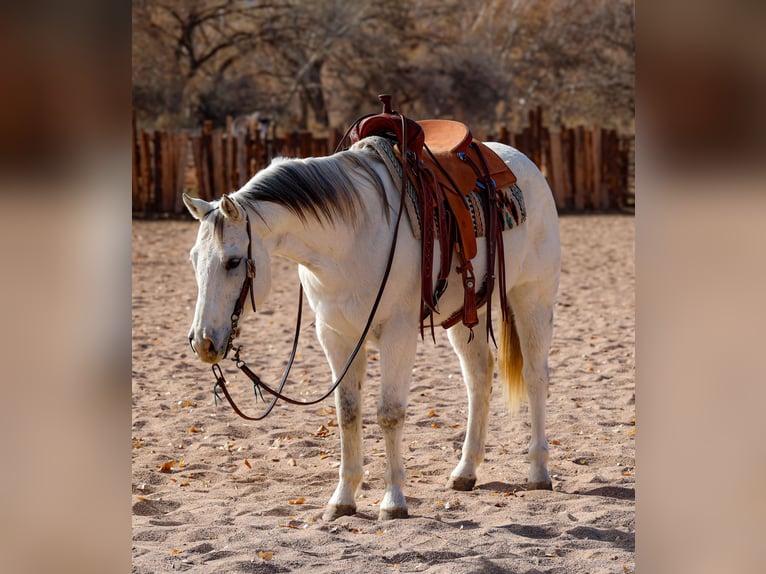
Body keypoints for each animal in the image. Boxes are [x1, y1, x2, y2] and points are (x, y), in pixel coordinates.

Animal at [183, 138, 560, 520]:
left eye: (233, 261)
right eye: (193, 259)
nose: (203, 342)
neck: (348, 239)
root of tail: (521, 160)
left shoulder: (399, 334)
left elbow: (389, 413)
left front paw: (393, 501)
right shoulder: (336, 335)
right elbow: (347, 412)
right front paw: (342, 499)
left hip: (532, 299)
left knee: (535, 377)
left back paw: (538, 472)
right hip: (468, 314)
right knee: (479, 378)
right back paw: (465, 471)